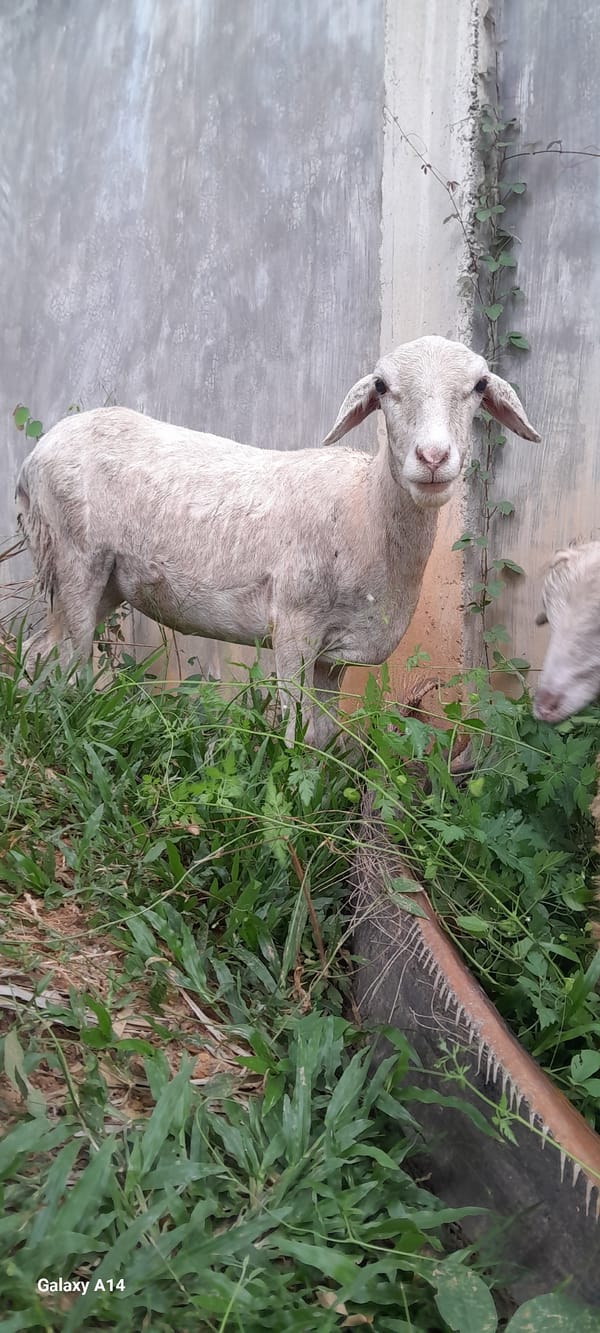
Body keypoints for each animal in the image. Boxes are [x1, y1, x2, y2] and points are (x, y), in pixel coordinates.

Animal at [15, 335, 539, 746]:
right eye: (382, 386)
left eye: (479, 386)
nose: (432, 458)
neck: (364, 510)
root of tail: (35, 456)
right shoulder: (294, 626)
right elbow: (294, 732)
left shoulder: (335, 653)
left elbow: (322, 737)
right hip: (74, 557)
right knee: (66, 658)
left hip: (107, 580)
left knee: (41, 652)